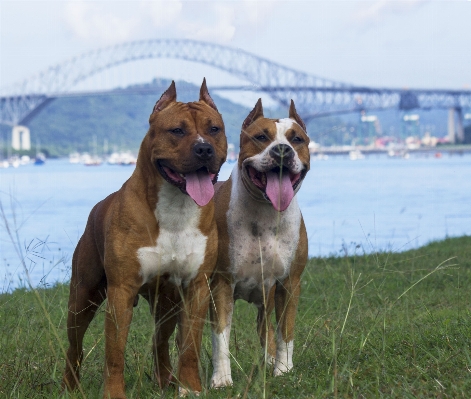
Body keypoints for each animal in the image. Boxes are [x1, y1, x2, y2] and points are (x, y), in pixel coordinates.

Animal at [62, 79, 229, 398]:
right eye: (177, 130)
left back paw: (166, 381)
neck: (176, 206)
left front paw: (191, 388)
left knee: (159, 341)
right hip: (83, 297)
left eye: (214, 129)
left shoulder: (196, 288)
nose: (204, 148)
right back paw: (70, 385)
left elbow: (190, 345)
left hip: (167, 303)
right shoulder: (121, 291)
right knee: (74, 345)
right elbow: (115, 351)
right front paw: (113, 393)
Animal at [210, 99, 310, 388]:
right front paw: (222, 378)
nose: (282, 150)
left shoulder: (288, 284)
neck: (265, 212)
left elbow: (285, 332)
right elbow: (220, 336)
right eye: (261, 137)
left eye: (297, 139)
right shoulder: (222, 284)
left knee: (266, 329)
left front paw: (283, 370)